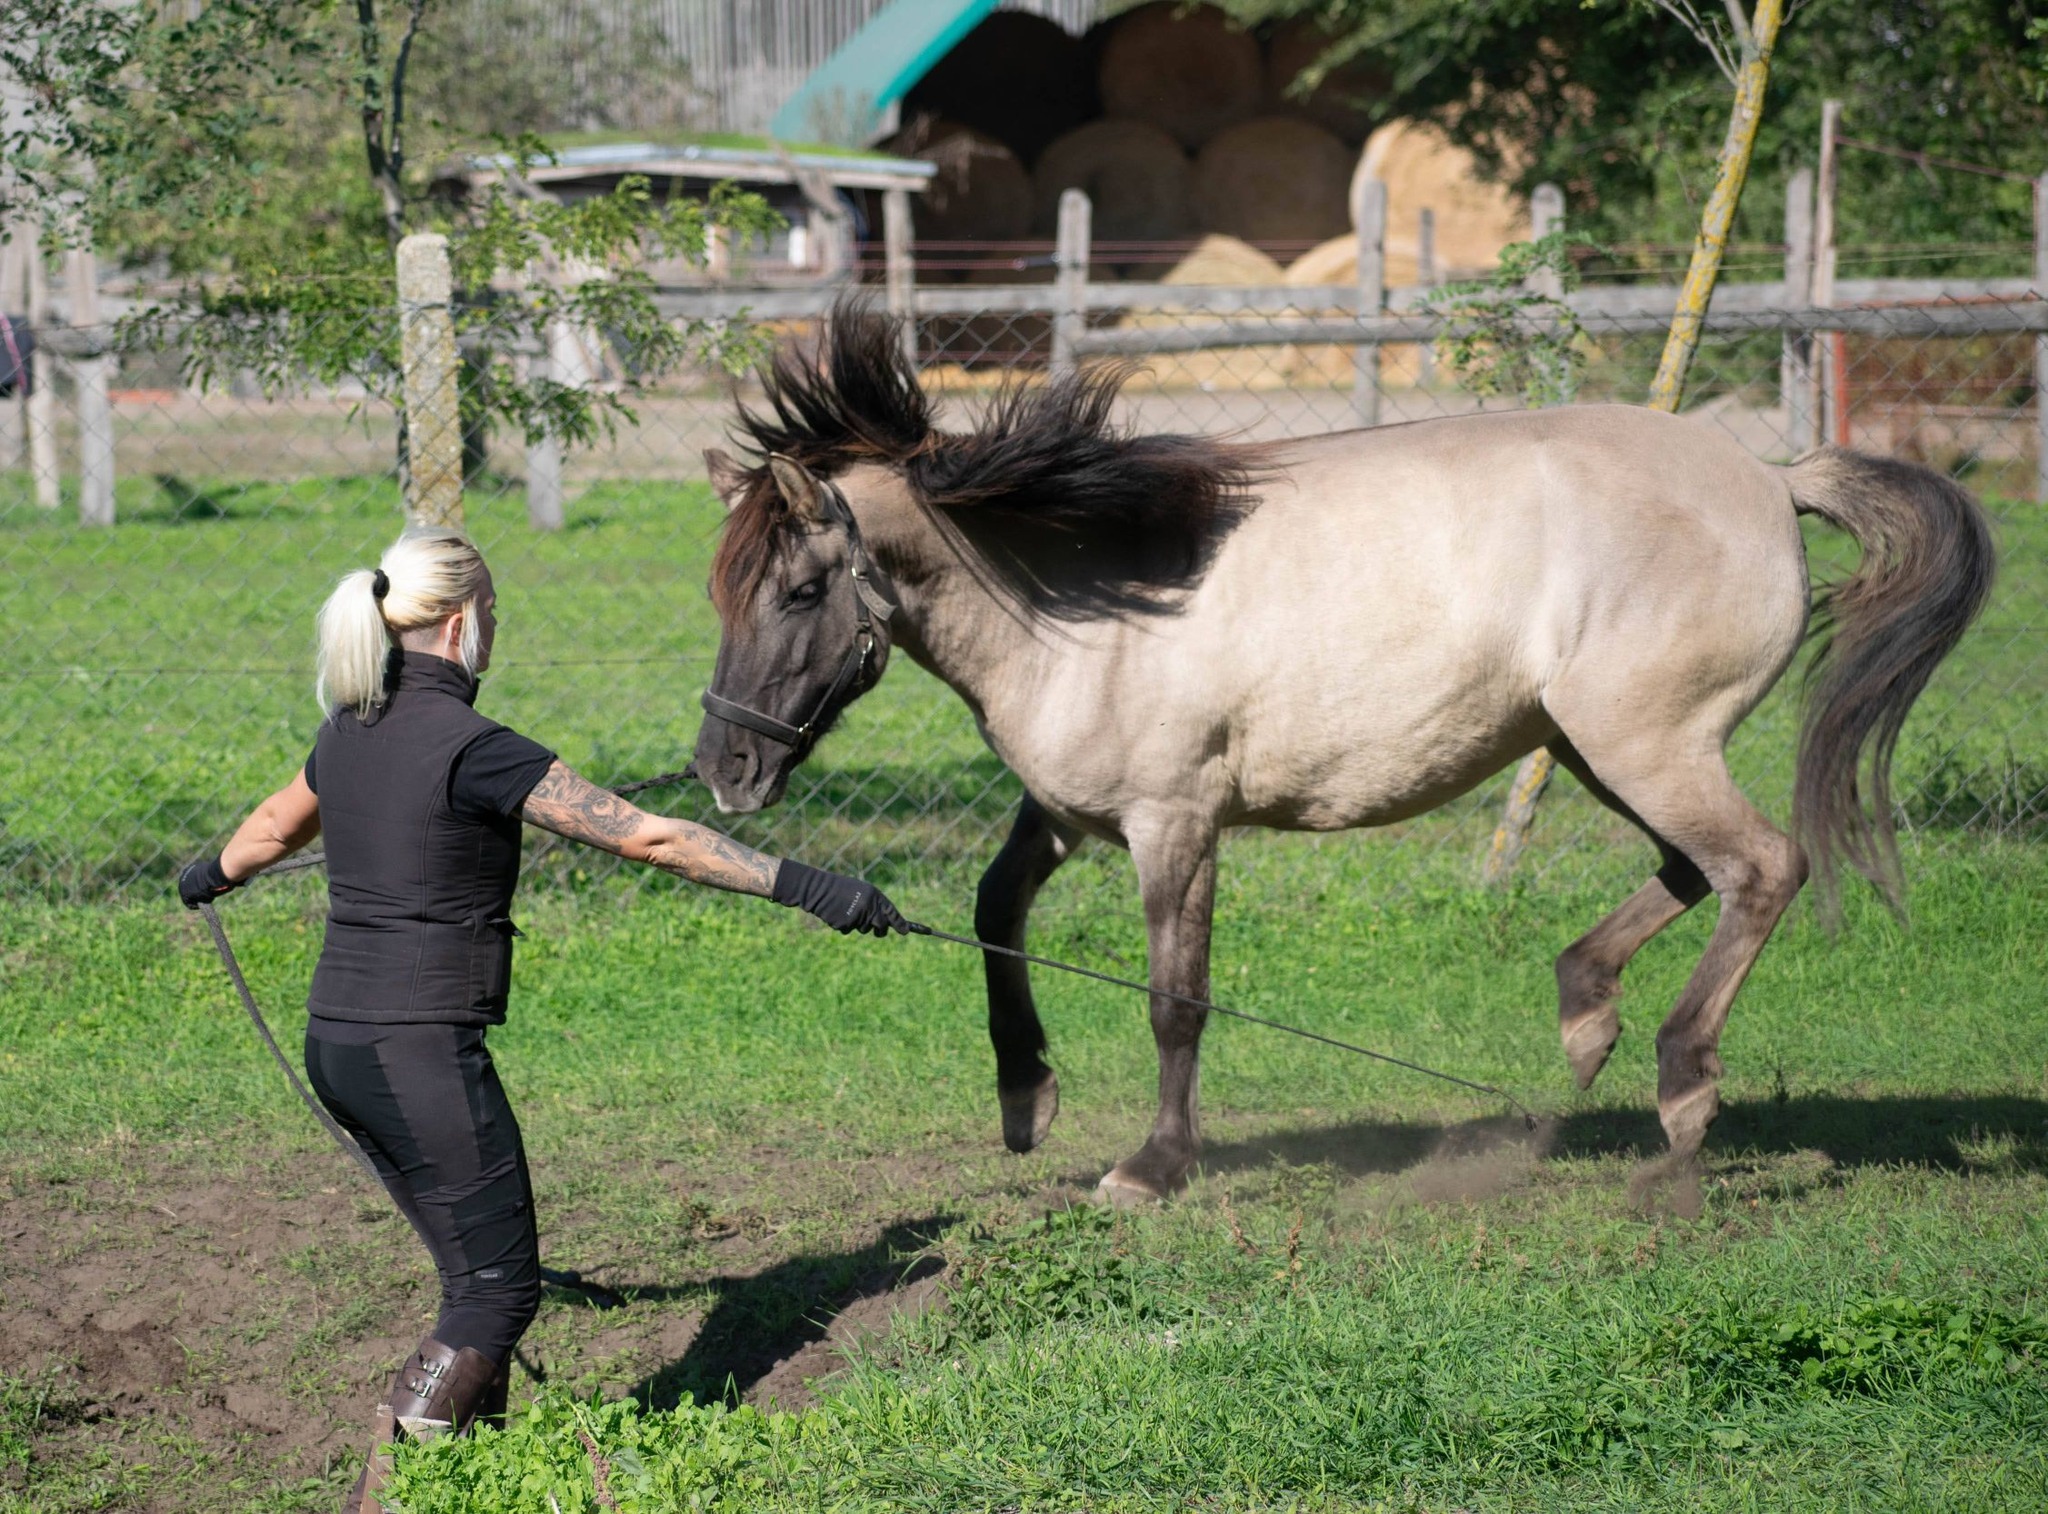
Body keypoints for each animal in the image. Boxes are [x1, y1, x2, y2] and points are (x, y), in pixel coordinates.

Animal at [688, 307, 1982, 1204]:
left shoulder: (1173, 824)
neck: (1085, 600)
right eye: (726, 590)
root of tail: (1773, 479)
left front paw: (1153, 1164)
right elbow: (993, 908)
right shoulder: (1061, 813)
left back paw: (1675, 1101)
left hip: (1643, 742)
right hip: (1596, 746)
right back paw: (1584, 1018)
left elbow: (1174, 998)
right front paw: (1026, 1097)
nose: (723, 771)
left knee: (1759, 866)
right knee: (1694, 870)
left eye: (798, 589)